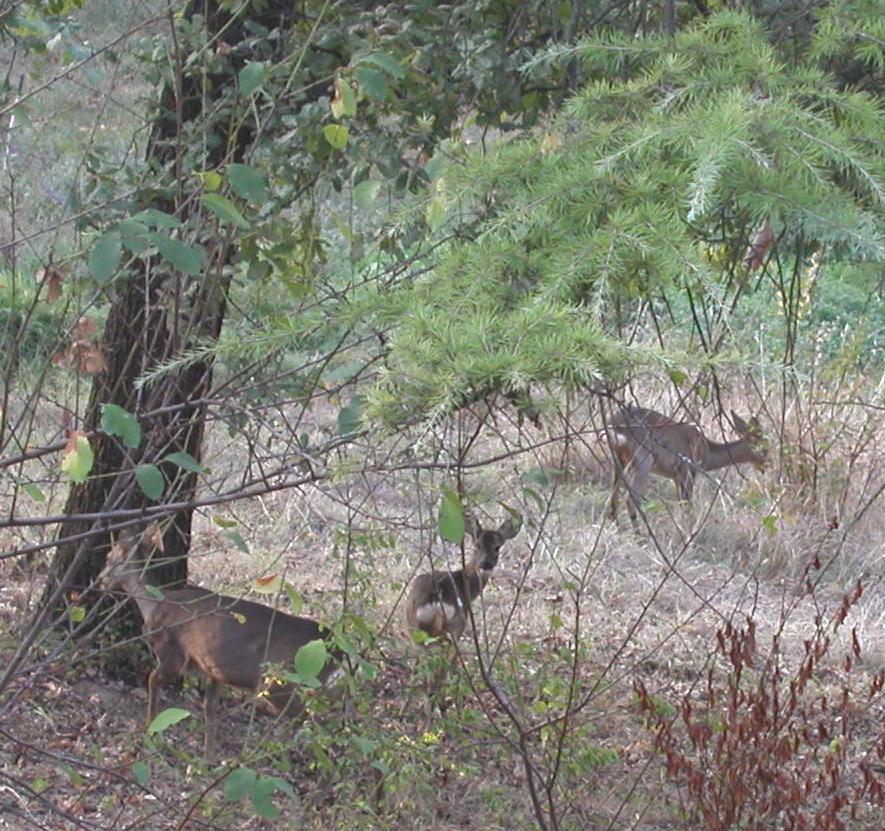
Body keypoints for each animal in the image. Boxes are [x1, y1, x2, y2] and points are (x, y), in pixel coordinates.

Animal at [98, 532, 340, 760]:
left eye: (109, 557)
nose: (100, 580)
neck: (153, 604)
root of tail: (334, 649)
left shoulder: (172, 654)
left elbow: (152, 680)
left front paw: (150, 730)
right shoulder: (213, 670)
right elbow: (209, 708)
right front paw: (209, 757)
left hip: (283, 681)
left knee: (313, 721)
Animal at [406, 512, 520, 644]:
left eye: (497, 547)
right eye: (478, 544)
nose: (486, 563)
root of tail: (433, 602)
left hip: (412, 625)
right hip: (457, 622)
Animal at [608, 404, 768, 532]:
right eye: (764, 448)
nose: (766, 466)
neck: (707, 451)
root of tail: (613, 425)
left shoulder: (676, 477)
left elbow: (681, 504)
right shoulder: (688, 471)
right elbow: (688, 506)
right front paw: (689, 534)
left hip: (619, 462)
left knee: (613, 499)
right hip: (644, 460)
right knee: (630, 499)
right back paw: (641, 537)